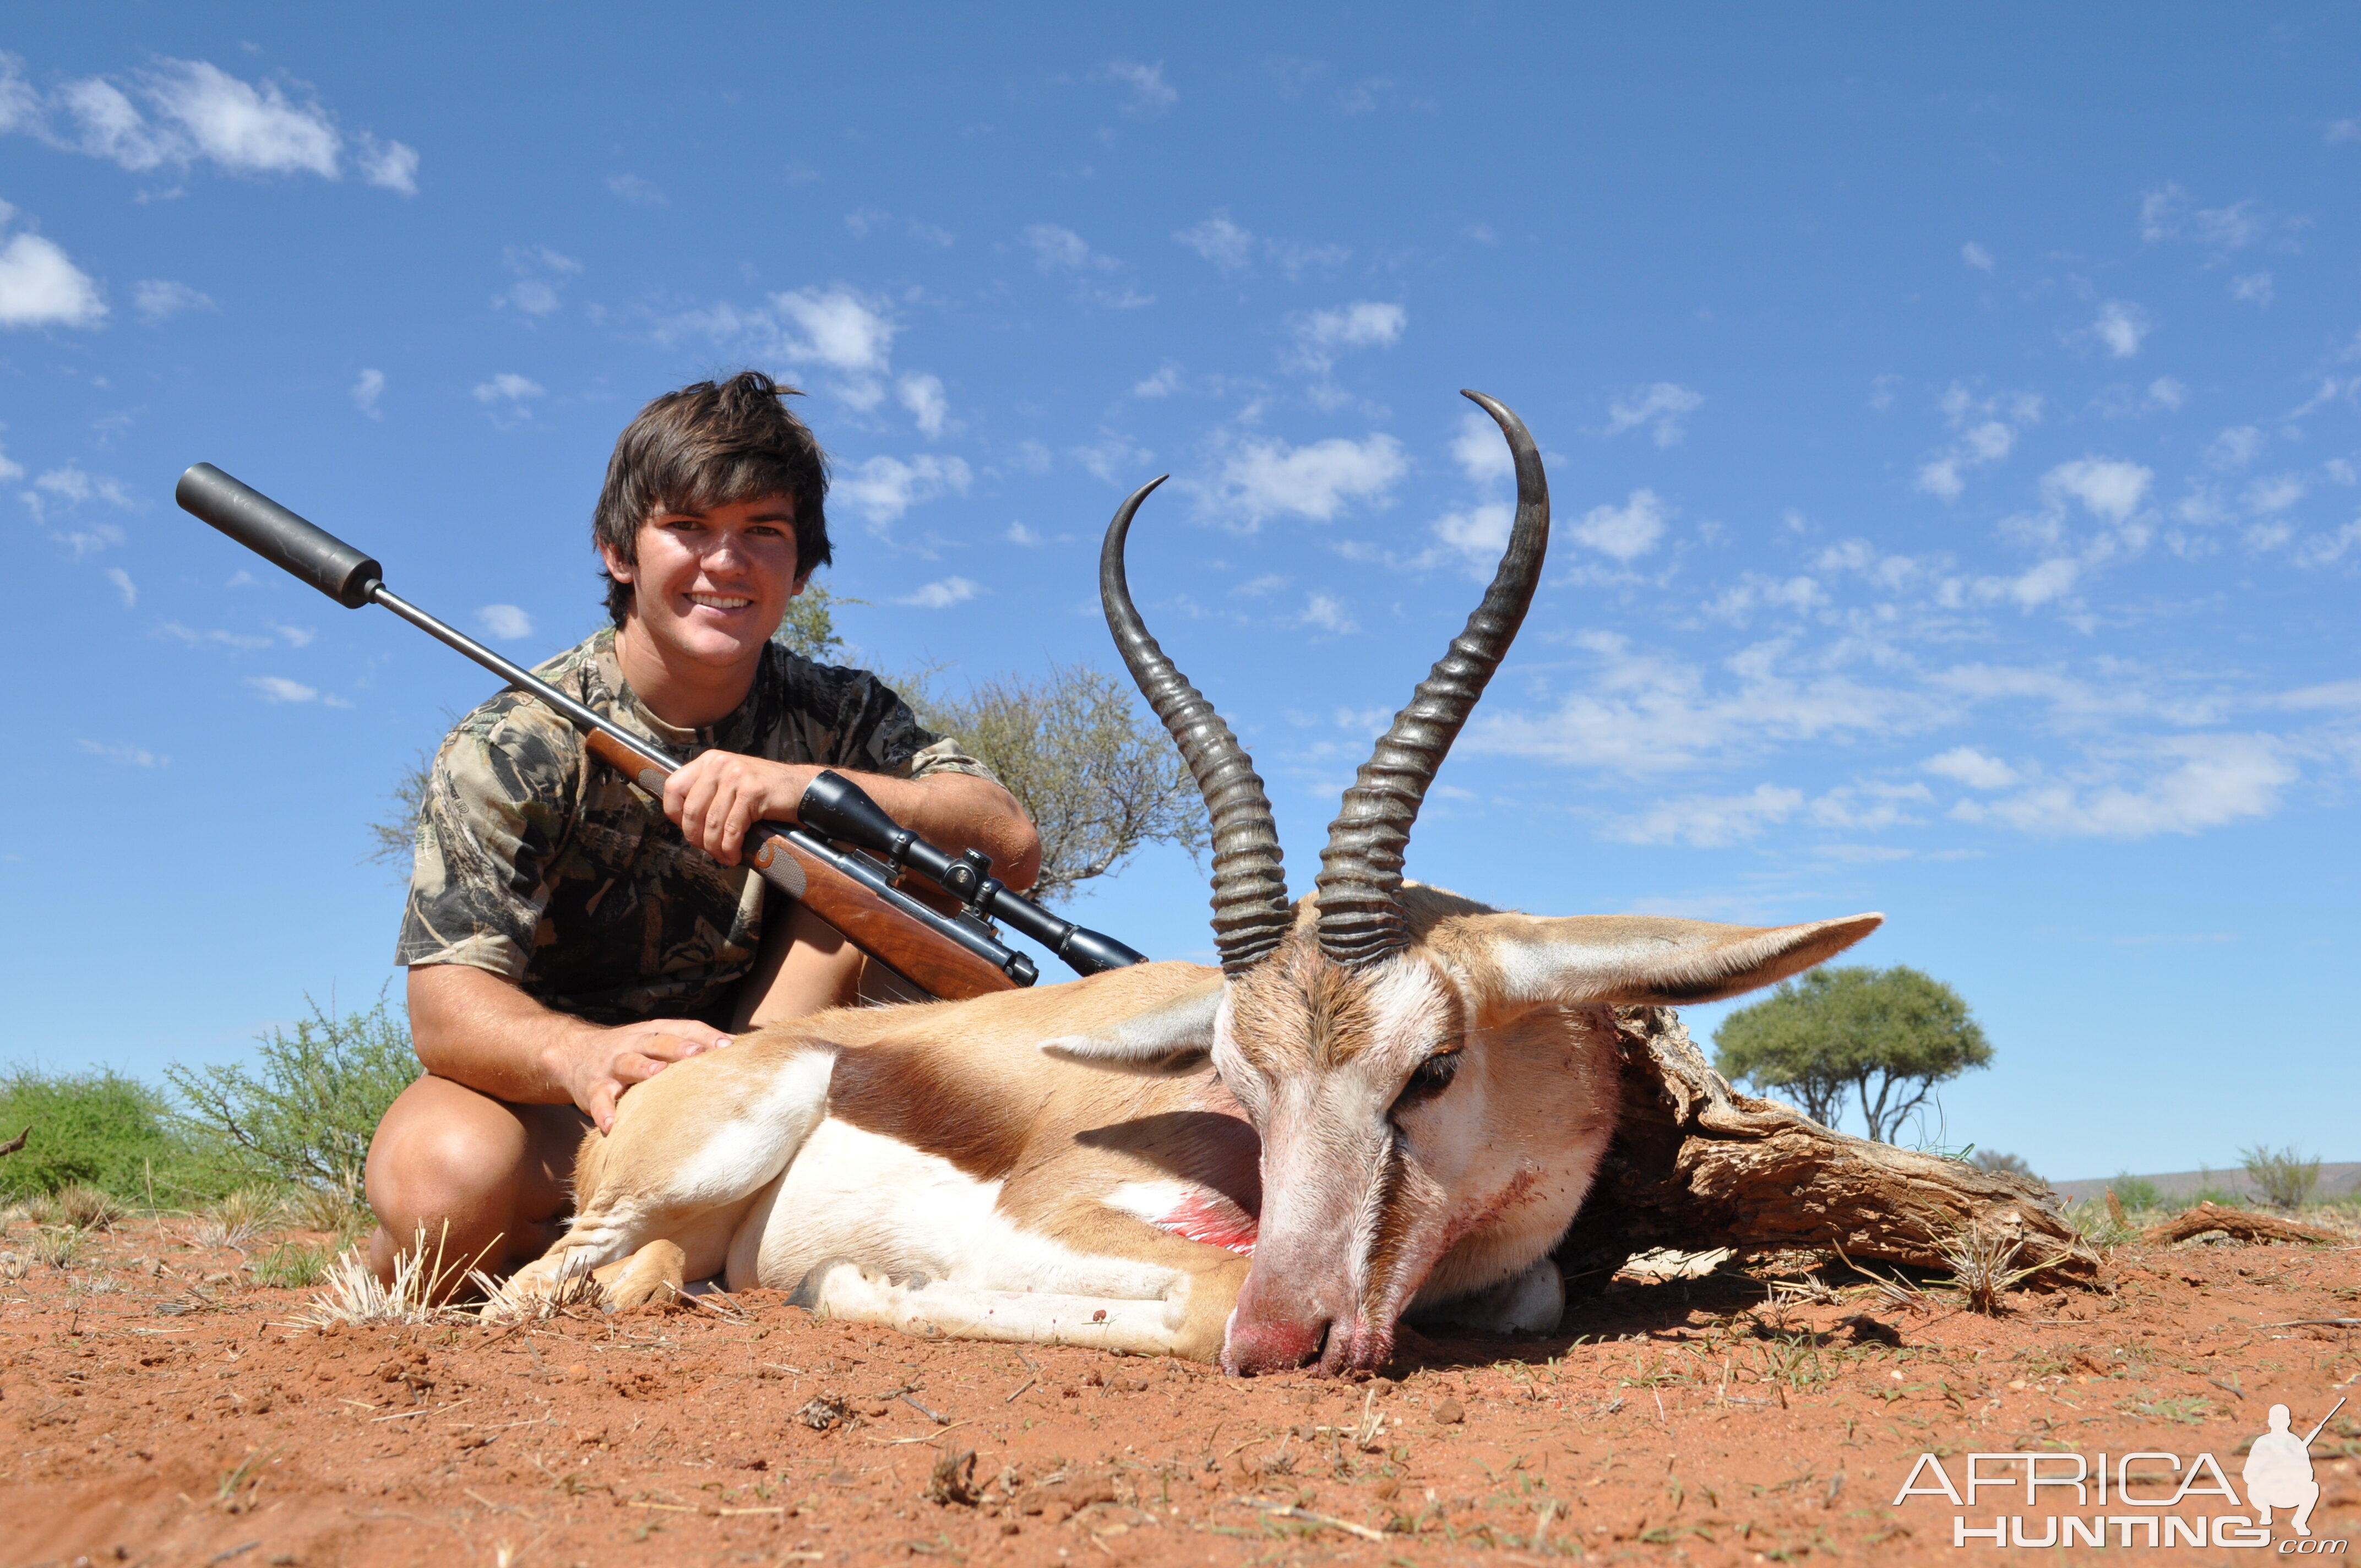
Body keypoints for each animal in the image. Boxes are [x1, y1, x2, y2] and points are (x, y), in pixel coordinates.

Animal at [517, 391, 1879, 1369]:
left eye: (1432, 1068)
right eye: (1232, 1081)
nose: (1293, 1334)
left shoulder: (1513, 1275)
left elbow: (1527, 1297)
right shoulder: (1076, 1214)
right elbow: (1196, 1298)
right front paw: (852, 1280)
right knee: (528, 1287)